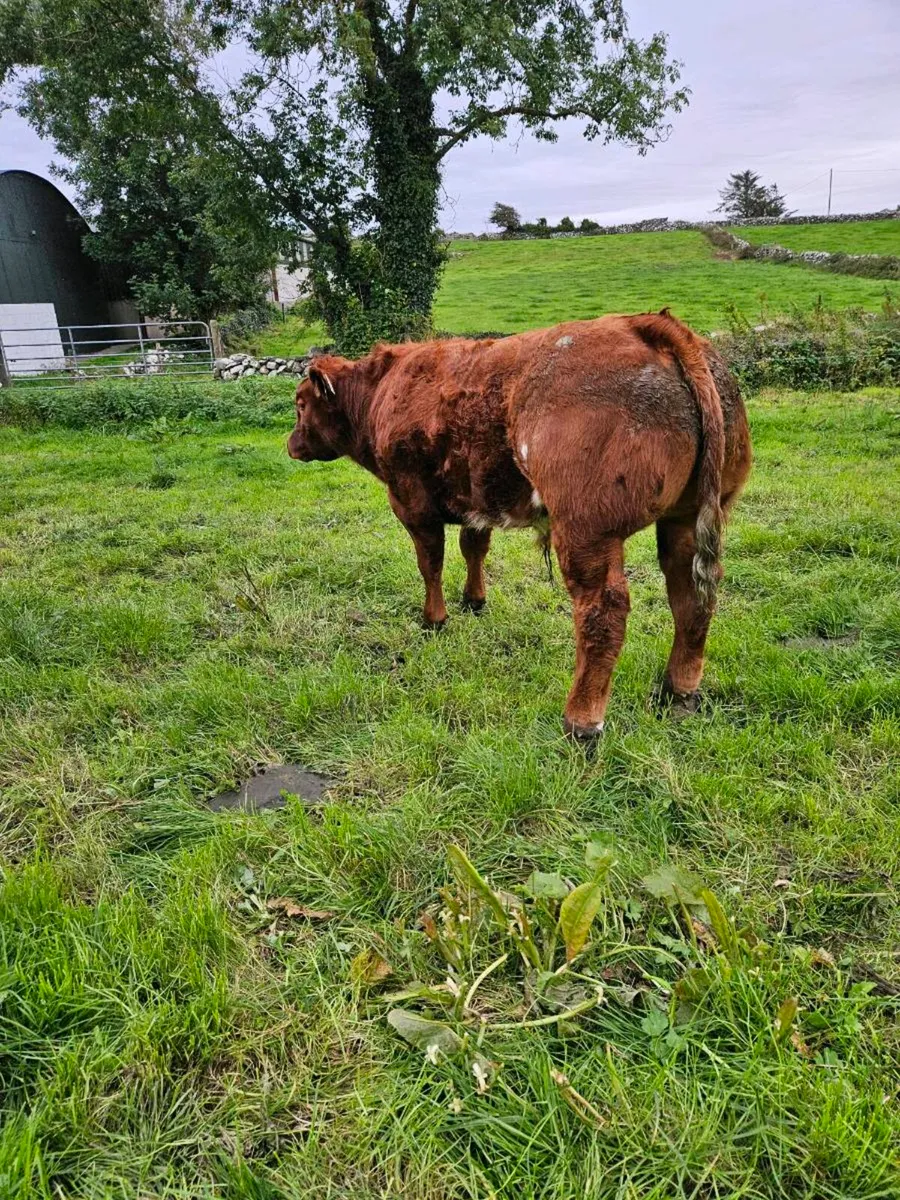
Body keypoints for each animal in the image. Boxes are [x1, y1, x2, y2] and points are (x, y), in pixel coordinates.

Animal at [287, 311, 752, 740]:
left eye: (300, 403)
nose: (290, 445)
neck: (383, 390)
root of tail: (648, 325)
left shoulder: (411, 502)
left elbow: (430, 563)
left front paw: (434, 619)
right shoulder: (476, 500)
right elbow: (473, 548)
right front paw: (474, 600)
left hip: (586, 528)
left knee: (604, 611)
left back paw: (582, 721)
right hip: (687, 518)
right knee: (691, 597)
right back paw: (677, 690)